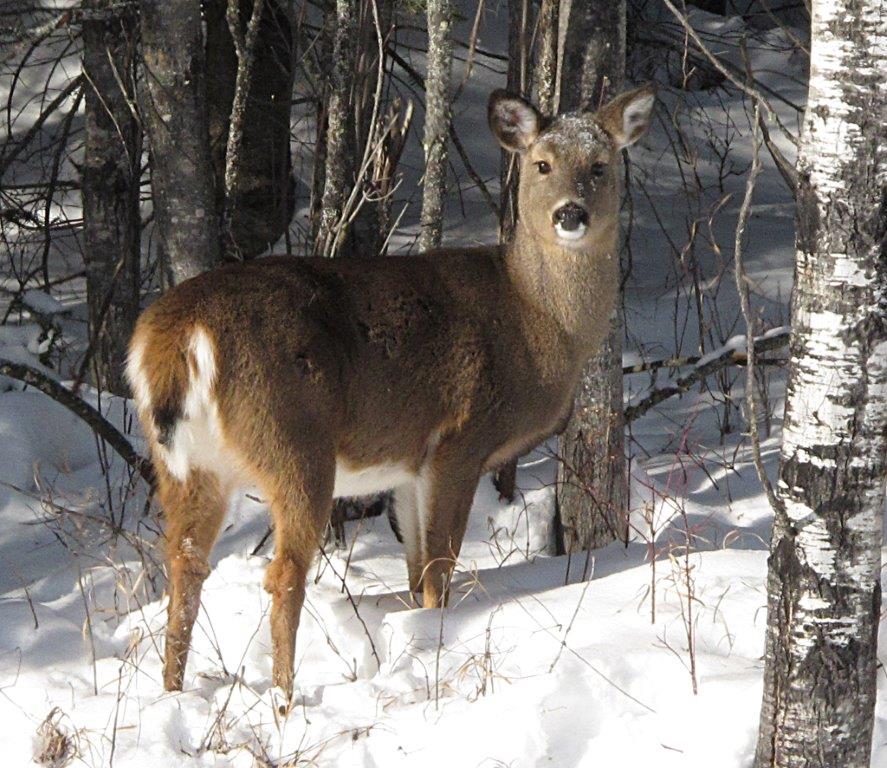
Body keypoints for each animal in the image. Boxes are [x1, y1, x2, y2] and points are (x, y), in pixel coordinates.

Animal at [127, 84, 655, 697]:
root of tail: (177, 334)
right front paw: (431, 639)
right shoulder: (460, 439)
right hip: (293, 442)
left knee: (184, 563)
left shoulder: (408, 463)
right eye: (542, 164)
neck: (534, 320)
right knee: (283, 574)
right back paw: (285, 697)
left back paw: (173, 692)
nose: (571, 212)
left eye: (599, 165)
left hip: (186, 465)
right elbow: (440, 567)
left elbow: (414, 568)